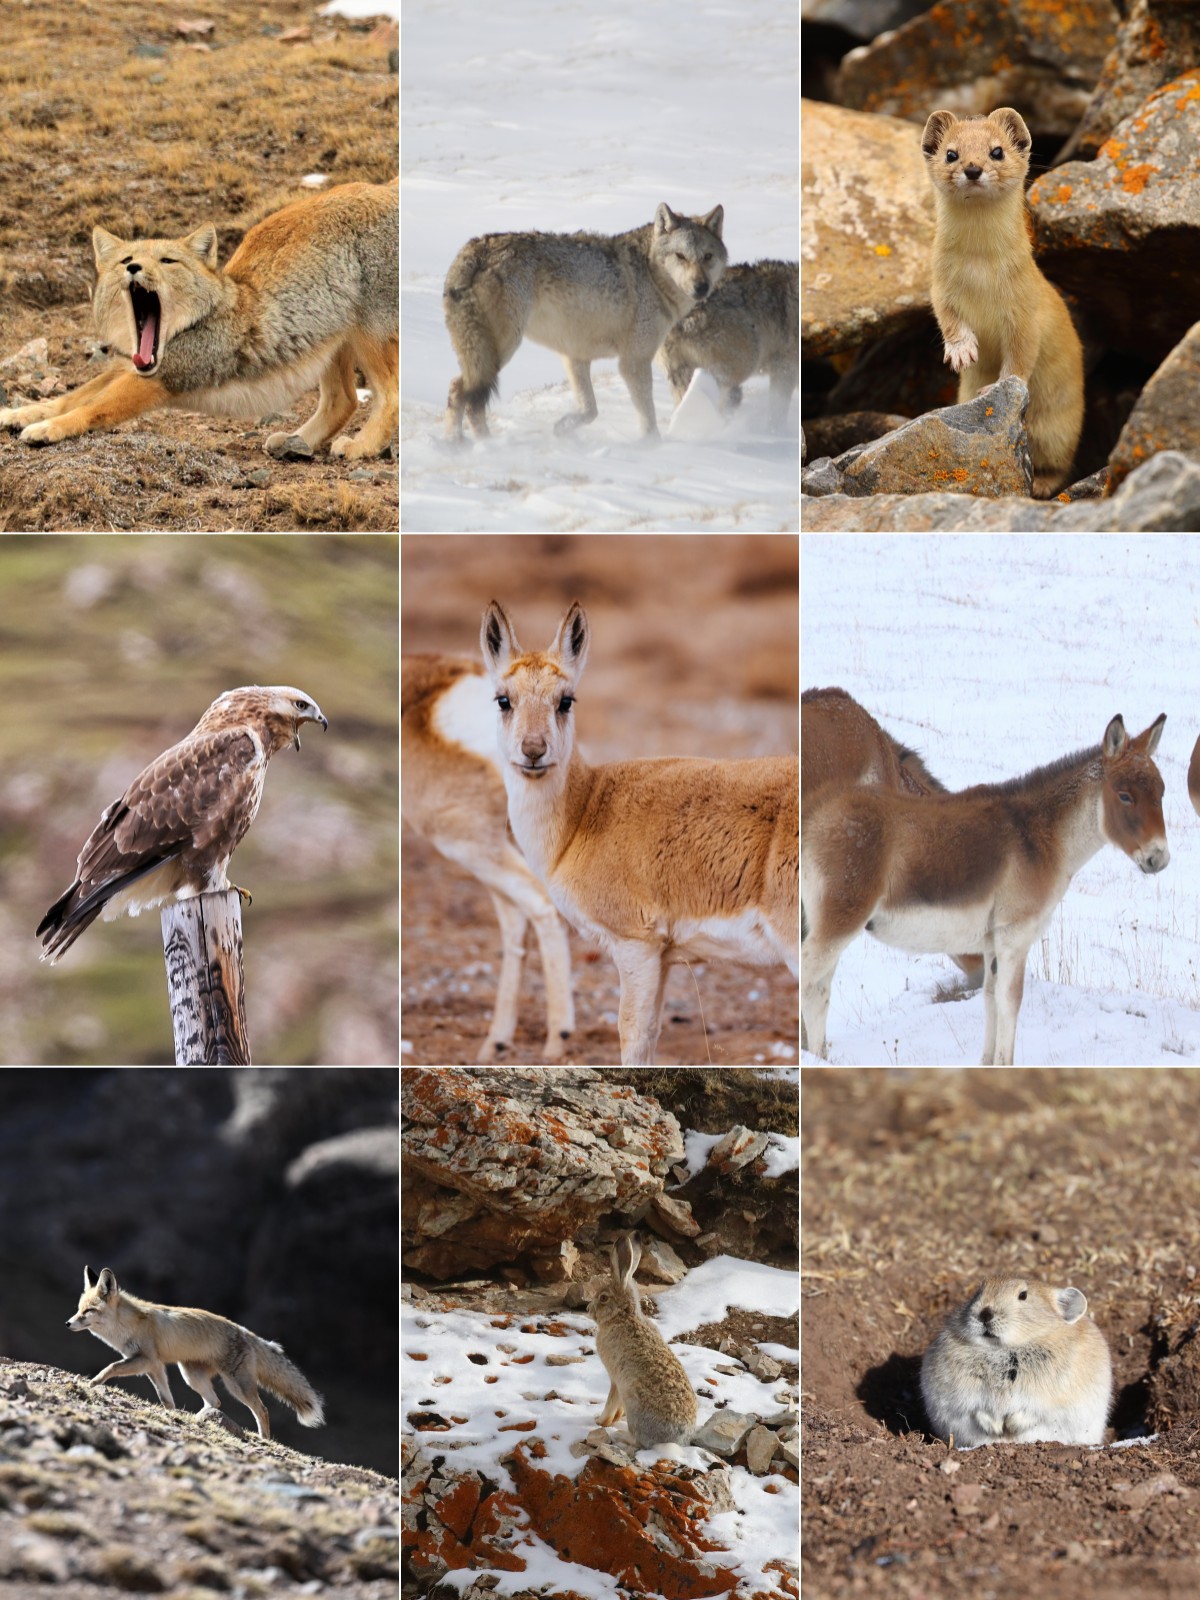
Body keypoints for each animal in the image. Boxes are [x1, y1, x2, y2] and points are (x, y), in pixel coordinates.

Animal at [0, 182, 404, 460]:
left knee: (391, 395)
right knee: (345, 400)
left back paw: (362, 446)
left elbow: (90, 408)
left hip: (369, 337)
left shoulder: (159, 377)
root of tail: (384, 188)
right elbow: (71, 397)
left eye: (167, 261)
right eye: (126, 259)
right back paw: (299, 440)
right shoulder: (129, 367)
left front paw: (48, 428)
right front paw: (23, 412)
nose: (134, 268)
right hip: (329, 341)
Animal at [66, 1267, 324, 1446]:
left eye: (89, 1311)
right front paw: (171, 1414)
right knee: (214, 1402)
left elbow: (111, 1367)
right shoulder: (155, 1366)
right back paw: (198, 1418)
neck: (126, 1326)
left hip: (236, 1385)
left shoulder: (147, 1359)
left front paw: (94, 1382)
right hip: (191, 1375)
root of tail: (247, 1332)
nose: (68, 1323)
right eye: (79, 1309)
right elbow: (166, 1399)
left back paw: (264, 1439)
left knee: (261, 1409)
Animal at [448, 206, 729, 448]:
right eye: (680, 256)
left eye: (707, 256)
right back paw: (475, 444)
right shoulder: (633, 362)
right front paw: (652, 448)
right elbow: (647, 418)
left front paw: (562, 429)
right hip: (499, 352)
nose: (701, 287)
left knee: (458, 392)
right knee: (463, 394)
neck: (651, 273)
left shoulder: (575, 357)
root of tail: (473, 251)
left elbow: (590, 410)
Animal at [928, 109, 1088, 496]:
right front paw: (962, 351)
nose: (973, 168)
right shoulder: (939, 285)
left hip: (1059, 427)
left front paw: (995, 386)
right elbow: (948, 317)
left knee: (1058, 461)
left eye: (996, 151)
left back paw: (1043, 484)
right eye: (951, 154)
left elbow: (1020, 356)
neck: (980, 272)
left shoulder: (1025, 306)